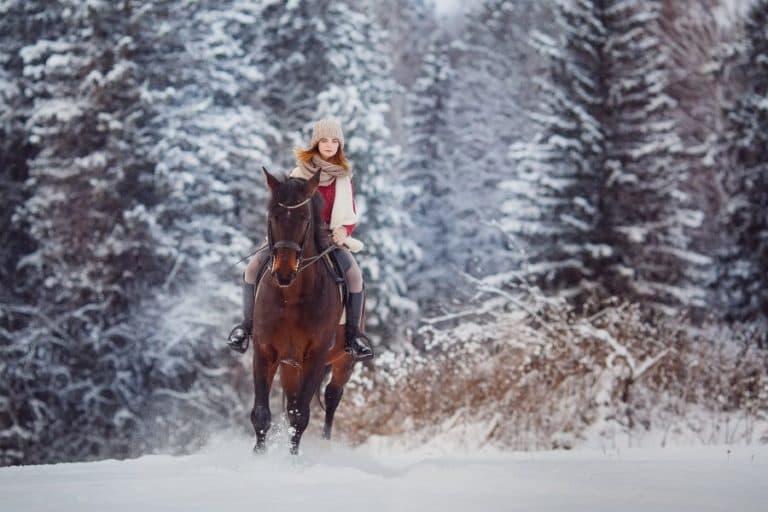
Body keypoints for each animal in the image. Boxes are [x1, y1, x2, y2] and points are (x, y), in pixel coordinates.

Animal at [250, 167, 357, 455]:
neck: (290, 298)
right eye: (273, 216)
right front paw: (258, 456)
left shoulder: (315, 356)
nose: (284, 272)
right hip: (290, 366)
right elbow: (261, 413)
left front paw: (293, 459)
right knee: (291, 402)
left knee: (331, 397)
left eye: (305, 218)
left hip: (343, 362)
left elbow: (301, 415)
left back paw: (325, 445)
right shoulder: (264, 351)